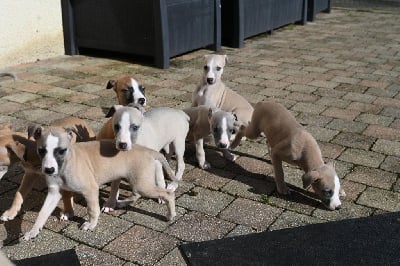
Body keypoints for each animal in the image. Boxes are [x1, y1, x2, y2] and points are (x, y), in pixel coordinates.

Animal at [23, 125, 177, 240]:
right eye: (41, 151)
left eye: (61, 151)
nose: (49, 170)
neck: (65, 165)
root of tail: (148, 151)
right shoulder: (53, 193)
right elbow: (42, 213)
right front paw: (33, 231)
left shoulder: (90, 189)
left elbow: (92, 209)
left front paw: (91, 225)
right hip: (138, 181)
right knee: (137, 194)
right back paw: (121, 203)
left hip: (142, 184)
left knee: (167, 194)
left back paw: (170, 215)